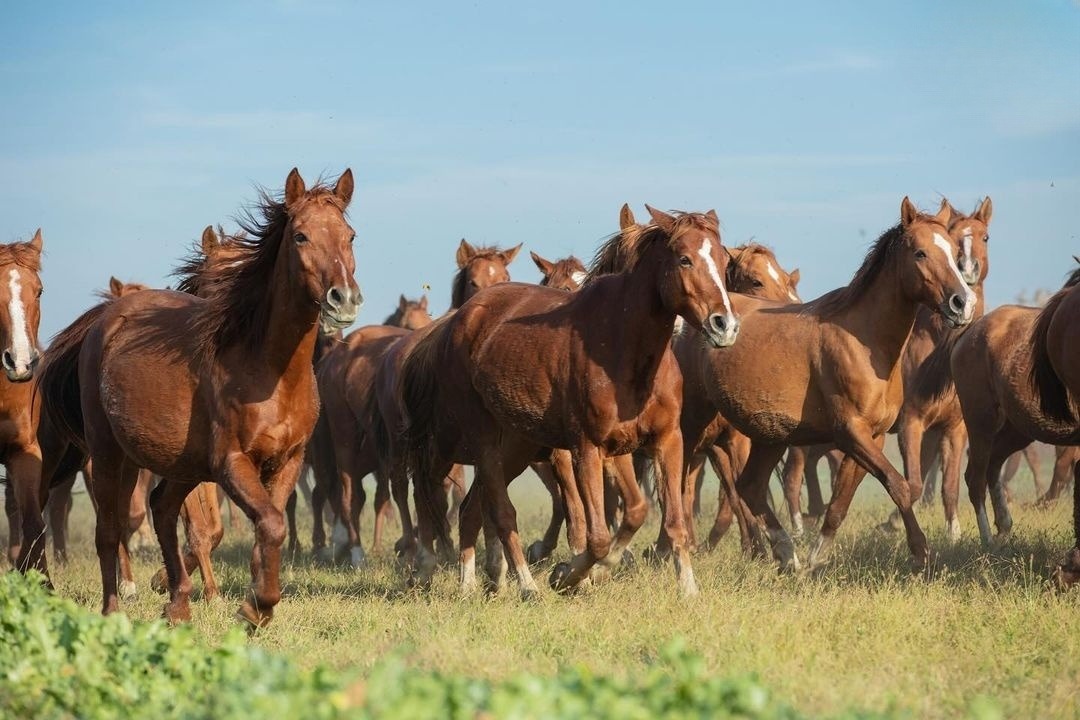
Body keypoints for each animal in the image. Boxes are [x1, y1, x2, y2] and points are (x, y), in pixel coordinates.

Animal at [36, 168, 360, 626]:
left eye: (350, 236)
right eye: (300, 236)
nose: (344, 298)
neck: (271, 372)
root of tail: (105, 319)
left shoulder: (288, 461)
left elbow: (268, 525)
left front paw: (253, 602)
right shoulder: (231, 463)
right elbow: (270, 524)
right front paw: (254, 608)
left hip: (177, 464)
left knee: (161, 508)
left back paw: (178, 604)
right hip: (109, 453)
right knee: (111, 530)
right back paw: (115, 609)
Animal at [399, 206, 739, 598]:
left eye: (724, 259)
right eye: (684, 259)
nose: (725, 325)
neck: (623, 350)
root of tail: (458, 320)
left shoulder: (661, 441)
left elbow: (655, 516)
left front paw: (686, 589)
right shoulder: (586, 448)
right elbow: (596, 536)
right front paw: (569, 574)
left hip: (515, 446)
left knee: (472, 509)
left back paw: (471, 583)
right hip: (480, 441)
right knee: (494, 509)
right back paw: (524, 585)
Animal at [698, 197, 975, 573]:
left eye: (953, 252)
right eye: (920, 253)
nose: (963, 303)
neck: (862, 341)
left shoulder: (871, 436)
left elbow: (840, 503)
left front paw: (815, 561)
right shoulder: (851, 432)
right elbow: (900, 486)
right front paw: (921, 554)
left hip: (770, 435)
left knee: (750, 486)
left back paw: (786, 555)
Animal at [951, 261, 1080, 569]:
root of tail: (968, 335)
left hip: (1017, 429)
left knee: (993, 466)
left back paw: (1004, 529)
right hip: (981, 420)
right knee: (975, 476)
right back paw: (988, 542)